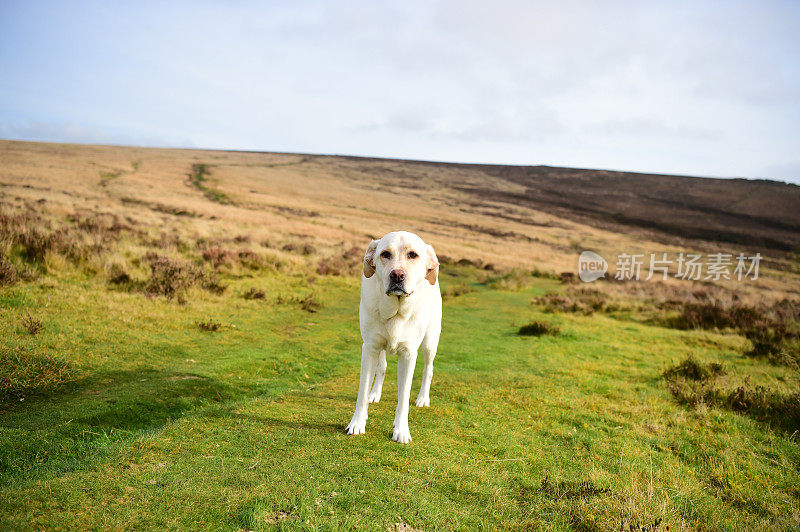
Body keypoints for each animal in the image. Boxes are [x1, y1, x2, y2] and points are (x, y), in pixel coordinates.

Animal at [346, 231, 444, 442]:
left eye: (413, 255)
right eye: (385, 254)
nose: (397, 275)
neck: (395, 310)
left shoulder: (408, 354)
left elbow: (403, 398)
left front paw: (401, 430)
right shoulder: (370, 348)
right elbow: (362, 391)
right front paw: (357, 423)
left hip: (430, 342)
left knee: (428, 369)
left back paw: (422, 398)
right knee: (382, 367)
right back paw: (375, 393)